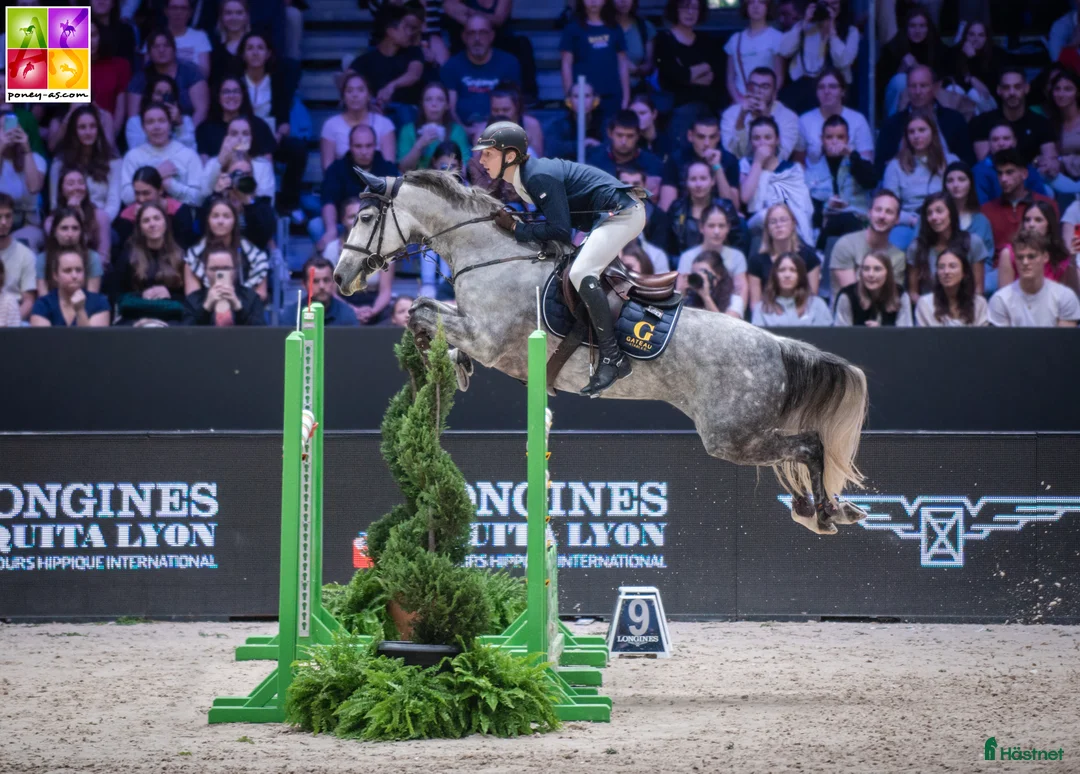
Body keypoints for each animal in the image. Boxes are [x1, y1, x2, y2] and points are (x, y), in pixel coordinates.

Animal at [334, 169, 870, 534]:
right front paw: (449, 363)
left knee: (809, 445)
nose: (341, 279)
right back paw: (828, 509)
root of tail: (776, 344)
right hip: (742, 434)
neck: (489, 254)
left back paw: (823, 512)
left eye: (364, 217)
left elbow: (422, 311)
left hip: (732, 436)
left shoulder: (488, 337)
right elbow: (427, 311)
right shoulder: (476, 329)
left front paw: (440, 358)